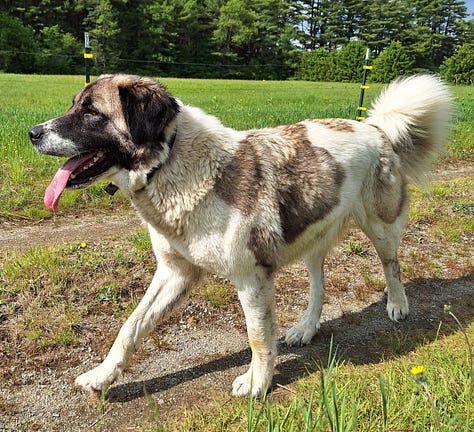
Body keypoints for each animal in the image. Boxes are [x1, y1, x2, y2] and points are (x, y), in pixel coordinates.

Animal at [28, 74, 452, 398]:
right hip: (313, 233)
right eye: (75, 105)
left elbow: (258, 337)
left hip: (380, 226)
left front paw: (257, 383)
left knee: (391, 265)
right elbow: (130, 327)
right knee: (319, 284)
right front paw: (101, 376)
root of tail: (374, 126)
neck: (171, 163)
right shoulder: (175, 272)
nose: (31, 132)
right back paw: (306, 328)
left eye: (91, 112)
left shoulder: (251, 278)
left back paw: (397, 305)